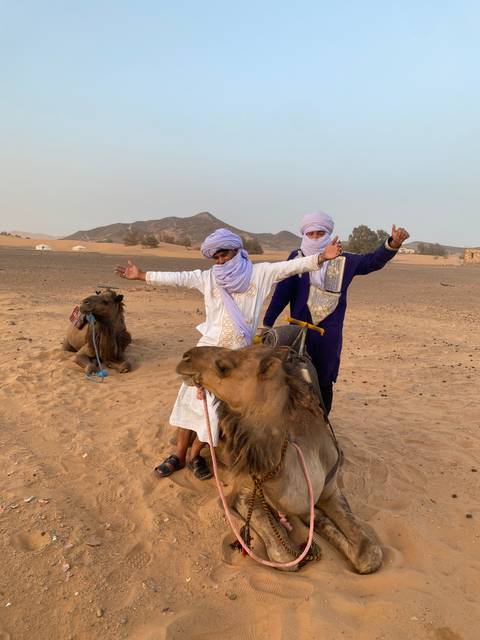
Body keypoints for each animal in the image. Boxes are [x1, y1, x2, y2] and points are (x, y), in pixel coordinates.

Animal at [176, 345, 383, 574]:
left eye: (223, 367)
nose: (185, 357)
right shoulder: (245, 491)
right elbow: (284, 556)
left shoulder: (330, 488)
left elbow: (369, 555)